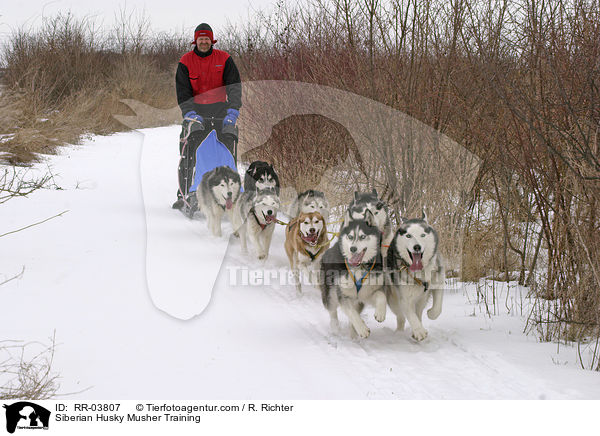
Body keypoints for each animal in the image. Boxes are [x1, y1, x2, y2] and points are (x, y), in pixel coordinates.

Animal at [384, 213, 446, 342]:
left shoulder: (438, 284)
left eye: (422, 235)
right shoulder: (405, 298)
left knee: (418, 312)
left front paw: (431, 313)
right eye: (408, 236)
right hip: (394, 300)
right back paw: (399, 332)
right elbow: (411, 316)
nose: (417, 247)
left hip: (422, 298)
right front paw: (419, 331)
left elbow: (437, 308)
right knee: (401, 317)